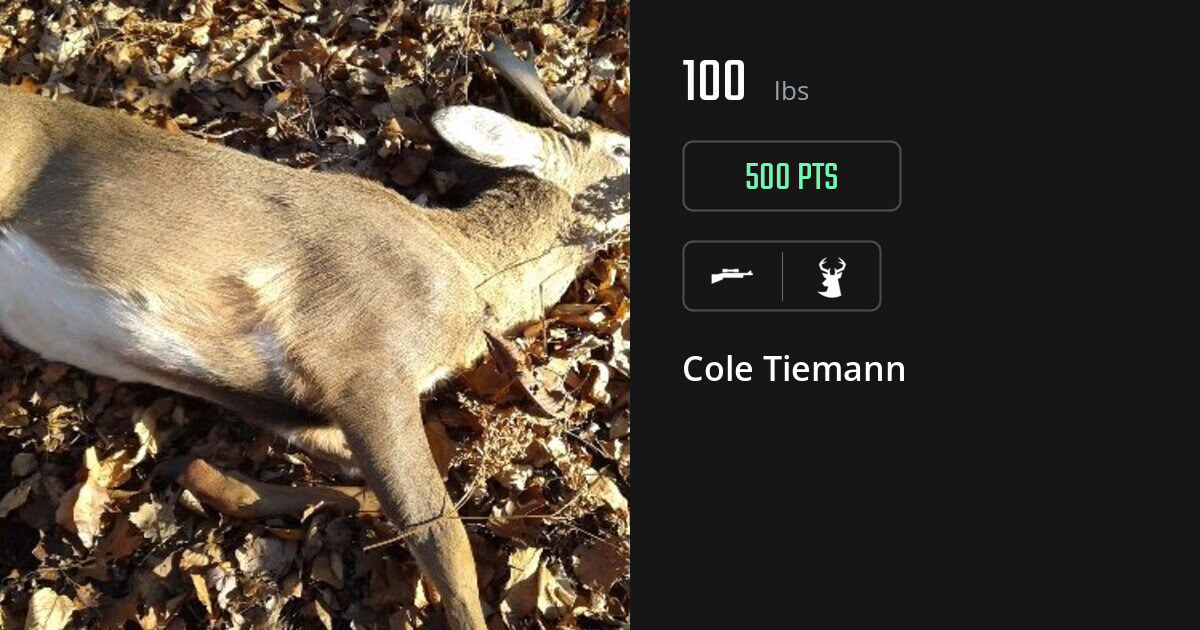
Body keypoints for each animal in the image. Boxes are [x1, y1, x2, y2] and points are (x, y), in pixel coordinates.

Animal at [0, 34, 629, 629]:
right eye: (621, 146)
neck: (469, 273)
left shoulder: (284, 400)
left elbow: (371, 492)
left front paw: (205, 477)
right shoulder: (360, 356)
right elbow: (441, 534)